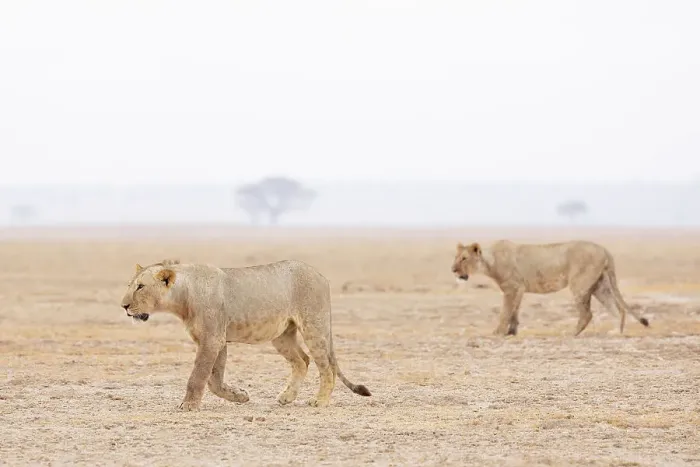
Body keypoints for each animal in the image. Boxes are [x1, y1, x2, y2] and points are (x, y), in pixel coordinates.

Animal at [119, 258, 371, 411]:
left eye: (140, 287)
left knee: (326, 366)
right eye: (130, 285)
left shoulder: (212, 339)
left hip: (313, 326)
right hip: (282, 335)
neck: (183, 296)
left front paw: (189, 405)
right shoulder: (217, 340)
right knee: (302, 360)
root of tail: (319, 274)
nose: (123, 306)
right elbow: (214, 380)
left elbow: (198, 376)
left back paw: (320, 400)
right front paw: (240, 396)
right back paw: (287, 397)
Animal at [451, 240, 649, 336]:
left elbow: (505, 312)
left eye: (464, 258)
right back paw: (616, 332)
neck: (490, 261)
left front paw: (498, 332)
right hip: (600, 285)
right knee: (617, 309)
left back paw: (571, 333)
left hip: (580, 284)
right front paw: (511, 332)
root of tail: (604, 249)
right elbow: (514, 312)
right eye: (456, 257)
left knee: (587, 313)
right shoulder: (518, 289)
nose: (453, 270)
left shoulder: (511, 287)